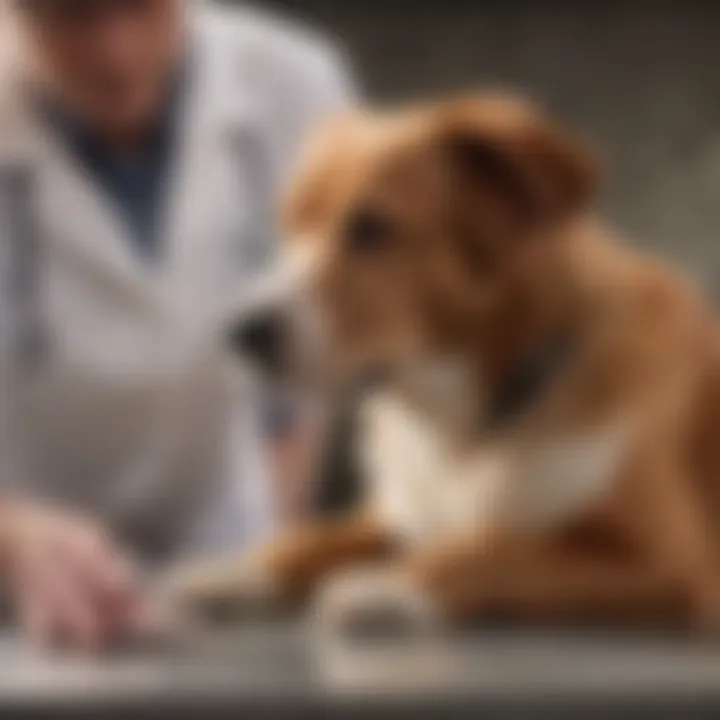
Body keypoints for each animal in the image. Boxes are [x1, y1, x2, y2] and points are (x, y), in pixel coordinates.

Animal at [169, 93, 720, 632]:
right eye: (290, 225)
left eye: (372, 228)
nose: (241, 333)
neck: (467, 429)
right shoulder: (393, 512)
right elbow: (315, 540)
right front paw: (243, 569)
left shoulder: (671, 565)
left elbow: (491, 551)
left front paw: (390, 583)